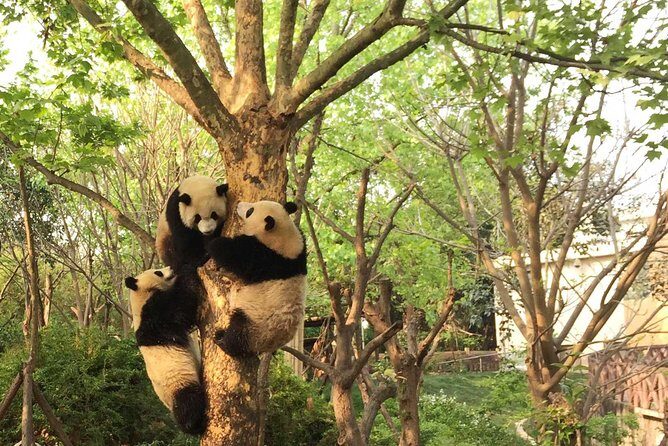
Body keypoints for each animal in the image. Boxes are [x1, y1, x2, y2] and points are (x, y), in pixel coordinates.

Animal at [124, 266, 206, 435]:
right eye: (158, 272)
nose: (171, 269)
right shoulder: (154, 315)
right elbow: (181, 304)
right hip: (177, 385)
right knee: (188, 402)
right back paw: (194, 425)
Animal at [206, 200, 307, 358]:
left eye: (250, 211)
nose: (239, 205)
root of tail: (267, 347)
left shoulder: (263, 258)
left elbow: (234, 254)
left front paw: (215, 242)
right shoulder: (300, 252)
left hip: (257, 324)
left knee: (239, 329)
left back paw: (223, 340)